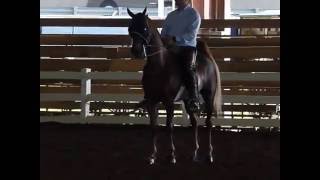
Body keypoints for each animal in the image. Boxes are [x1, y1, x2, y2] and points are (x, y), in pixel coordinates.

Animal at [127, 7, 222, 165]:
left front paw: (172, 155)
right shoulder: (151, 101)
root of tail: (207, 58)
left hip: (209, 96)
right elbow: (154, 127)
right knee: (194, 122)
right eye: (130, 28)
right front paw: (152, 155)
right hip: (188, 100)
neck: (159, 66)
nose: (137, 51)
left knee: (208, 123)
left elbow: (169, 127)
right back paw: (194, 153)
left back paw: (209, 155)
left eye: (145, 28)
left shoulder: (169, 102)